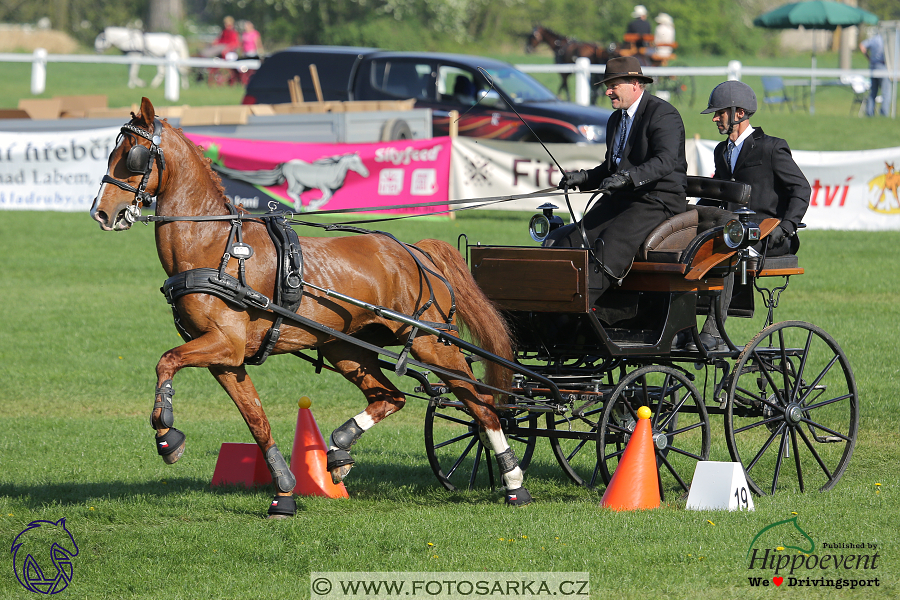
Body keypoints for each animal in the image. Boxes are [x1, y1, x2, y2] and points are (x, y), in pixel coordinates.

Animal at [89, 97, 532, 516]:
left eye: (132, 155)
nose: (101, 212)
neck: (215, 246)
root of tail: (414, 251)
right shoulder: (226, 359)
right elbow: (257, 421)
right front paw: (284, 492)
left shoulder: (224, 344)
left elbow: (165, 360)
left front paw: (166, 433)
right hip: (346, 346)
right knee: (392, 397)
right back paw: (338, 449)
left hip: (431, 342)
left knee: (482, 405)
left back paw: (514, 482)